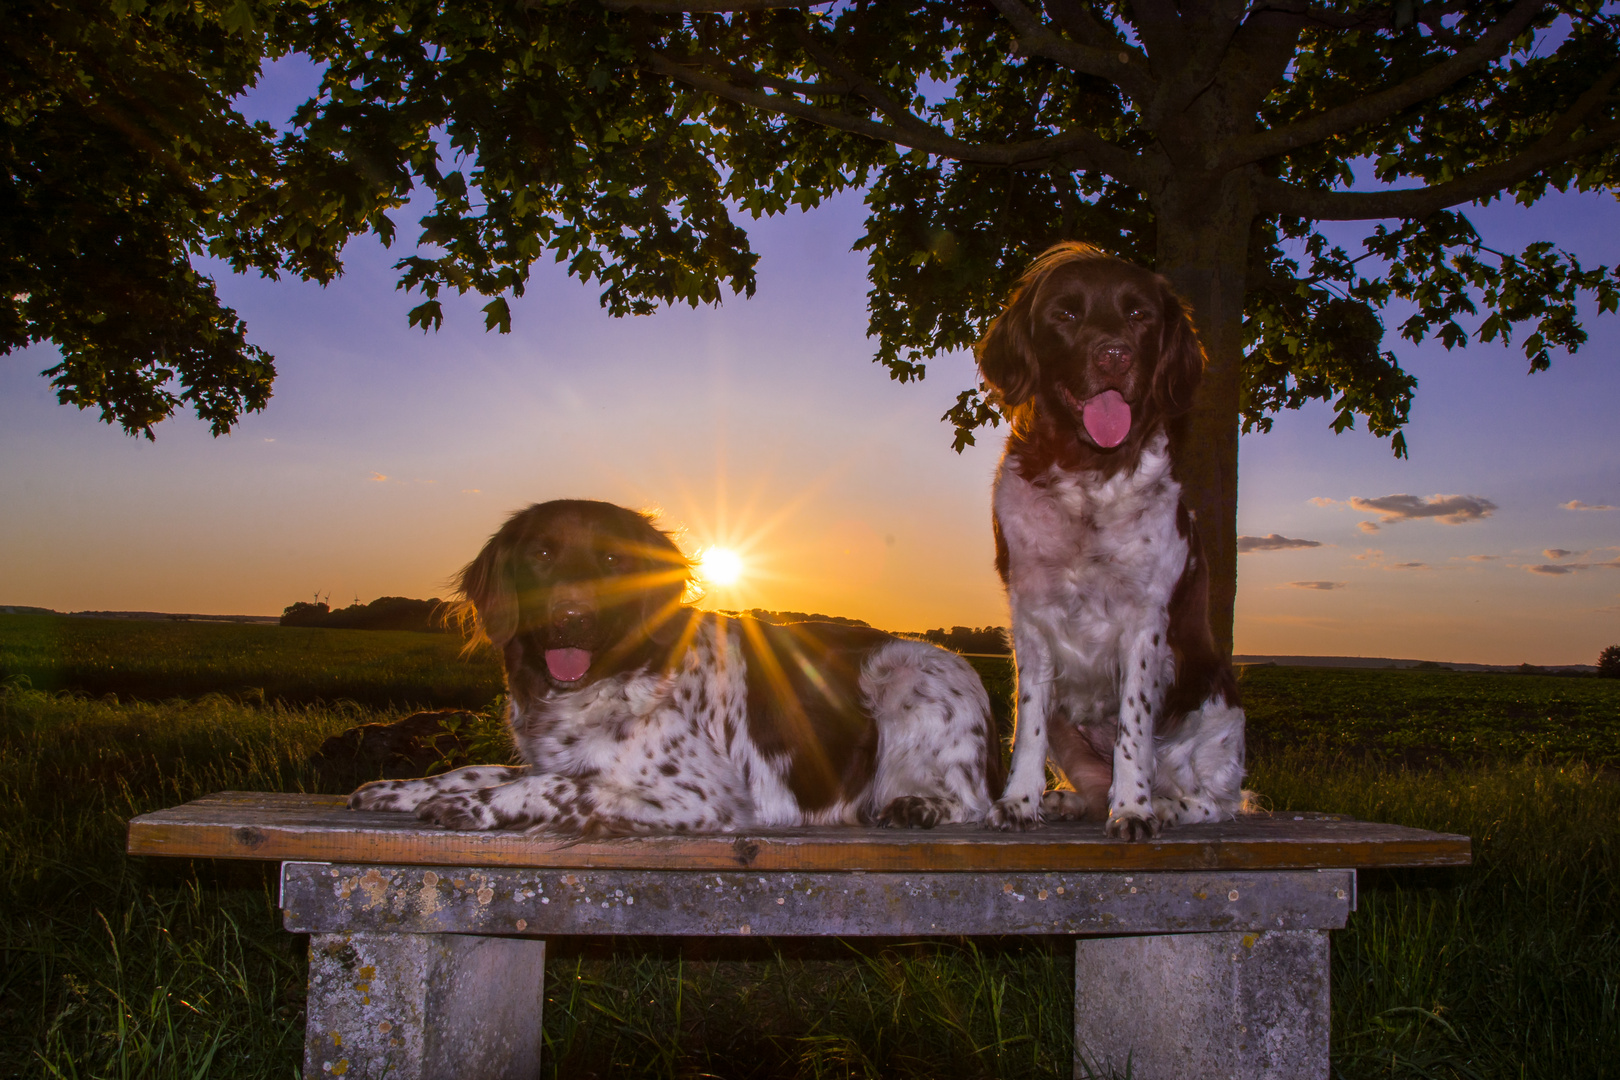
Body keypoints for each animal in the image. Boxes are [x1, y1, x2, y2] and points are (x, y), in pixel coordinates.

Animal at [348, 498, 991, 835]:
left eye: (613, 559)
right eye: (542, 554)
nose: (572, 619)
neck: (605, 681)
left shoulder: (703, 796)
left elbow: (565, 788)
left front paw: (474, 806)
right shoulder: (553, 754)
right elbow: (483, 769)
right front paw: (400, 789)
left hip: (904, 674)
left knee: (970, 803)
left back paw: (918, 805)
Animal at [972, 241, 1250, 841]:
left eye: (1139, 314)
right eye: (1066, 314)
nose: (1115, 356)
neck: (1087, 479)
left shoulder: (1145, 625)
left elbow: (1133, 732)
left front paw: (1135, 810)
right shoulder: (1031, 620)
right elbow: (1027, 728)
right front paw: (1020, 801)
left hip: (1210, 716)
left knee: (1216, 800)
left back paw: (1166, 806)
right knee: (1089, 781)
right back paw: (1067, 801)